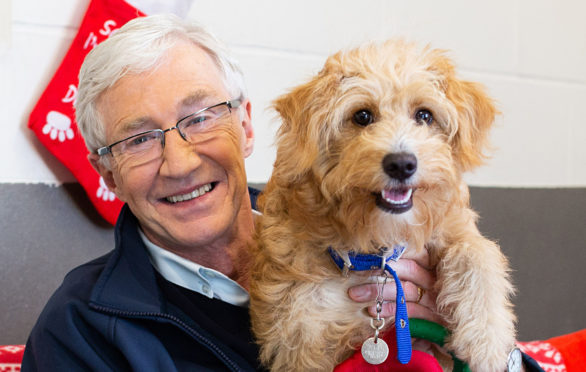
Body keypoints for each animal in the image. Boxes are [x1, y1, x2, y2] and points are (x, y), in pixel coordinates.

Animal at [249, 40, 512, 372]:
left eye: (424, 115)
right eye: (362, 116)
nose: (401, 164)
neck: (377, 245)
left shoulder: (454, 228)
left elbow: (478, 253)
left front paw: (486, 339)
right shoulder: (301, 335)